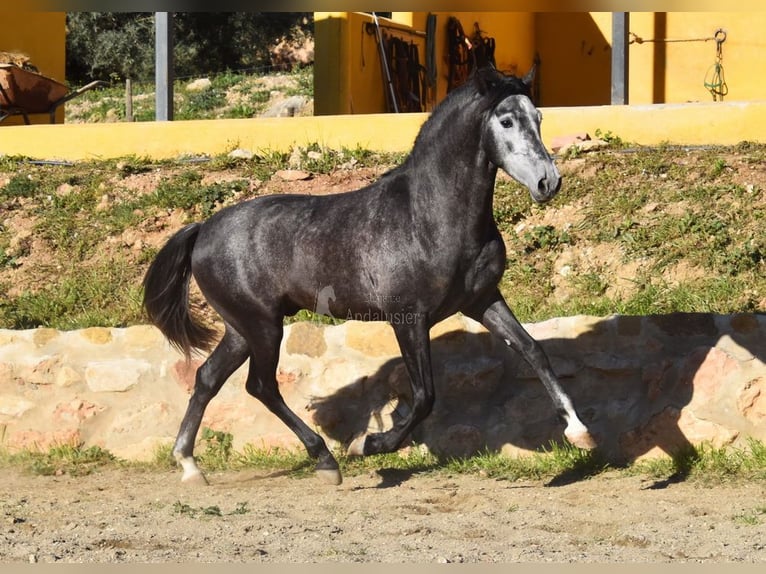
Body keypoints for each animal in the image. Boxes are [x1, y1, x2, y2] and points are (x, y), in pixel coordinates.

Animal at [146, 68, 600, 490]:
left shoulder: (483, 301)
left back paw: (190, 466)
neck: (429, 217)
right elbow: (424, 396)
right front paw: (369, 445)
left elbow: (533, 350)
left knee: (209, 378)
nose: (548, 182)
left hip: (242, 329)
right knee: (261, 386)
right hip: (262, 327)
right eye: (506, 121)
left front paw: (580, 433)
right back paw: (326, 460)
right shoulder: (408, 319)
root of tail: (203, 229)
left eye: (538, 117)